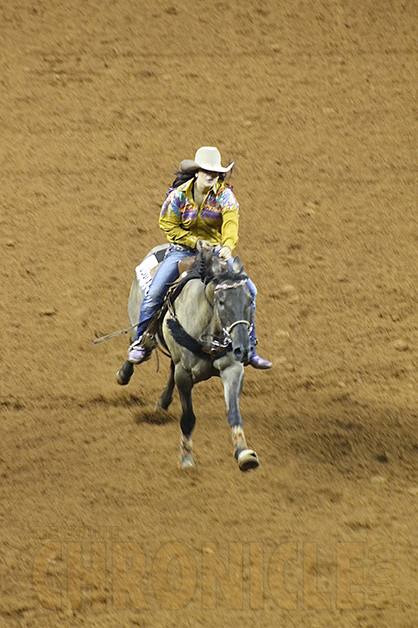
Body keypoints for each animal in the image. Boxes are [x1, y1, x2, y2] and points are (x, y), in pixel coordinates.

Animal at [117, 245, 260, 472]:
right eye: (221, 302)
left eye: (249, 300)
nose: (243, 349)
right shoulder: (184, 374)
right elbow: (188, 418)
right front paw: (186, 459)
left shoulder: (233, 369)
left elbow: (234, 413)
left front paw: (244, 454)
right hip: (140, 318)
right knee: (138, 340)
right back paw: (126, 370)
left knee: (169, 369)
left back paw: (163, 403)